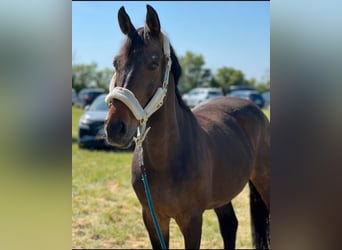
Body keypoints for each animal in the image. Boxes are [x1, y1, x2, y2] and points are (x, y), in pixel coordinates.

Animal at [104, 4, 270, 249]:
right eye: (116, 63)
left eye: (153, 63)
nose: (115, 128)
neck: (167, 158)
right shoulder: (153, 218)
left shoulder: (192, 219)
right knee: (229, 225)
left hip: (264, 180)